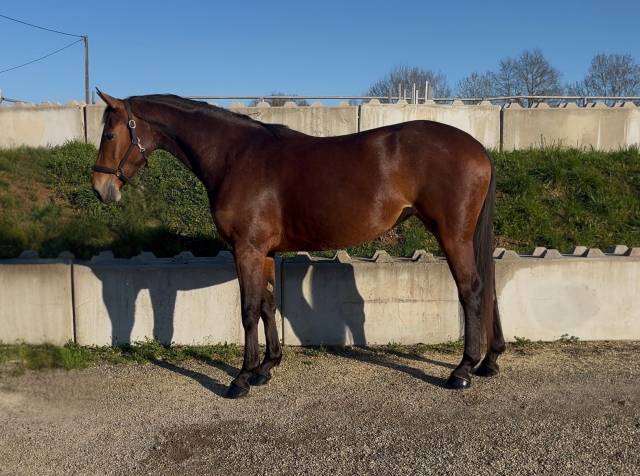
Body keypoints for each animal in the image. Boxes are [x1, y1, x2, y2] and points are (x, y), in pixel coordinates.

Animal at [91, 90, 506, 398]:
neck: (235, 157)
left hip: (452, 235)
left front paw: (241, 377)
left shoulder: (246, 250)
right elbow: (268, 304)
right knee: (489, 287)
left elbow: (248, 309)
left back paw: (462, 370)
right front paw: (266, 367)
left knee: (472, 289)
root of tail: (478, 148)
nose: (100, 188)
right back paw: (490, 361)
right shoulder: (264, 253)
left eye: (109, 135)